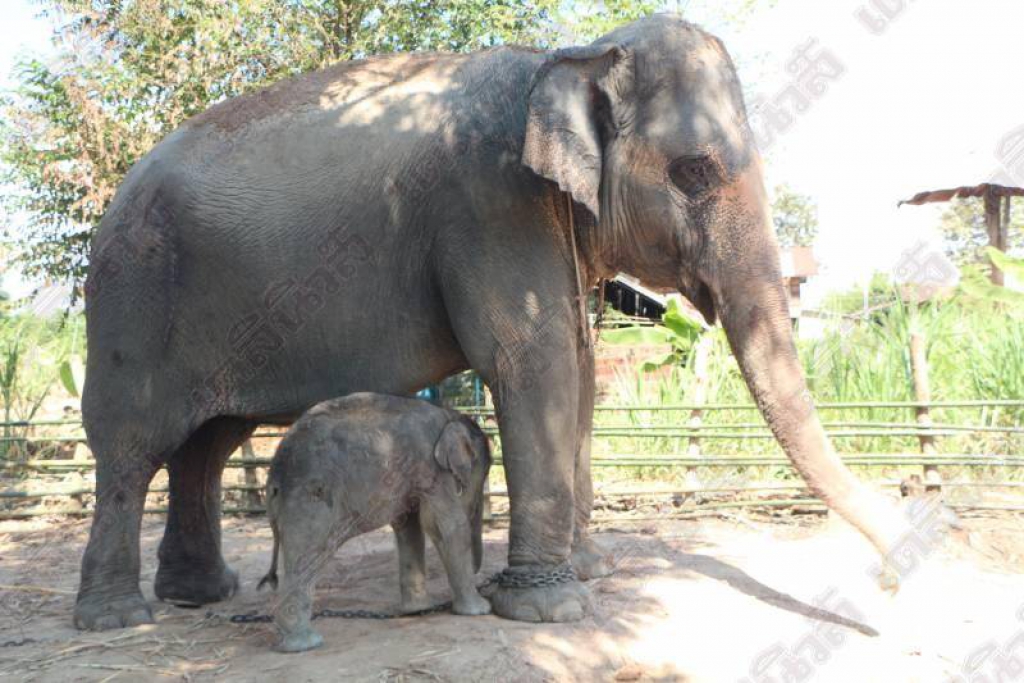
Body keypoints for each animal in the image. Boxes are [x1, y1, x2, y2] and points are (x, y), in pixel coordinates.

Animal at [260, 389, 491, 651]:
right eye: (481, 476)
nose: (480, 575)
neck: (449, 414)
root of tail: (273, 478)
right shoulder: (431, 469)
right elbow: (445, 526)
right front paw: (480, 611)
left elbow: (409, 526)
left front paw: (418, 610)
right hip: (309, 501)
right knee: (308, 555)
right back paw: (306, 644)